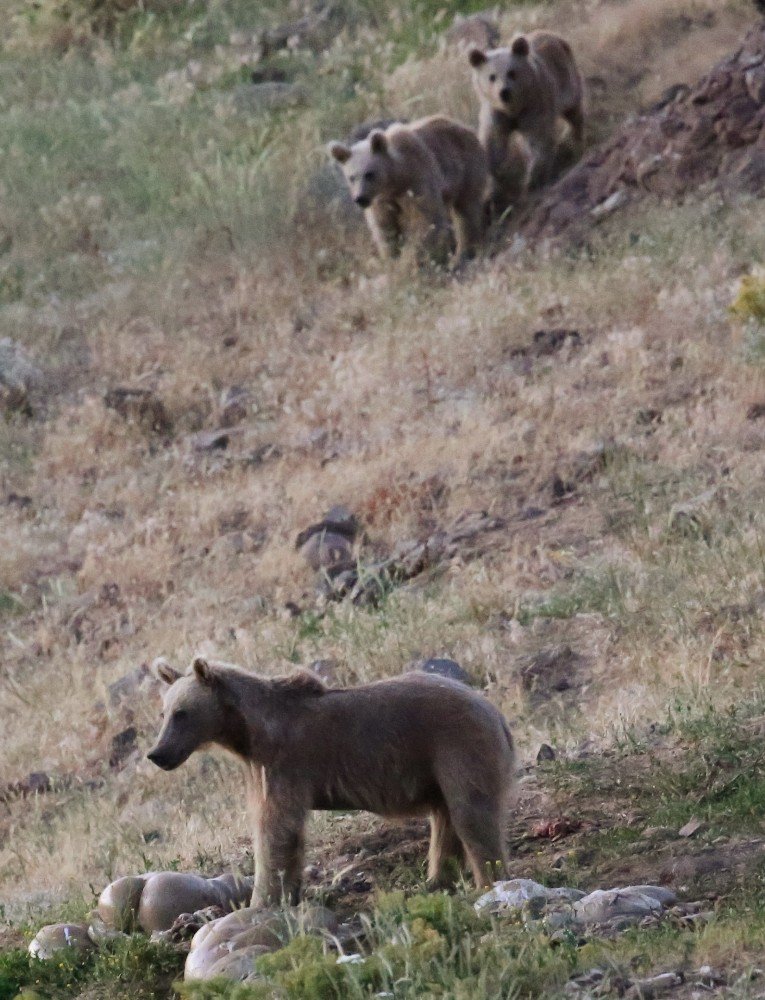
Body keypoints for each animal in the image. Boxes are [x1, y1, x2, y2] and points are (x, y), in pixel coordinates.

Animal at [146, 656, 516, 908]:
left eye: (182, 713)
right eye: (163, 713)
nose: (157, 752)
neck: (248, 733)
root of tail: (495, 712)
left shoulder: (285, 762)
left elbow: (274, 829)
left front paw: (260, 900)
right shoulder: (260, 767)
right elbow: (287, 835)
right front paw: (289, 894)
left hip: (457, 746)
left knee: (471, 814)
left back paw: (489, 881)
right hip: (436, 767)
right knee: (445, 819)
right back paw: (436, 880)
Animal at [326, 114, 484, 266]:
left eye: (369, 174)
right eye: (351, 177)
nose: (360, 198)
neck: (397, 176)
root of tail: (464, 126)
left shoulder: (417, 180)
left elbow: (425, 220)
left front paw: (419, 256)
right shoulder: (381, 199)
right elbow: (385, 228)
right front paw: (392, 258)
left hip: (466, 169)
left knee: (466, 211)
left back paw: (464, 252)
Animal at [466, 30, 584, 213]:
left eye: (512, 72)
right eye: (492, 77)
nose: (504, 92)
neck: (513, 109)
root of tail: (553, 35)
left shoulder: (534, 105)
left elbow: (538, 139)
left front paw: (531, 182)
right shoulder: (496, 114)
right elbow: (493, 146)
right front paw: (490, 194)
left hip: (566, 80)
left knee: (574, 110)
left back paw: (576, 139)